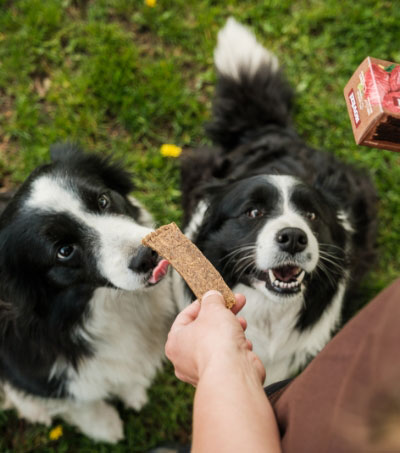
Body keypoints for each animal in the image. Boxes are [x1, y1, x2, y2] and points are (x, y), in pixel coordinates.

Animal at [0, 144, 172, 442]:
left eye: (102, 200)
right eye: (64, 251)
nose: (148, 256)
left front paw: (133, 392)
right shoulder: (42, 374)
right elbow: (83, 404)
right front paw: (107, 428)